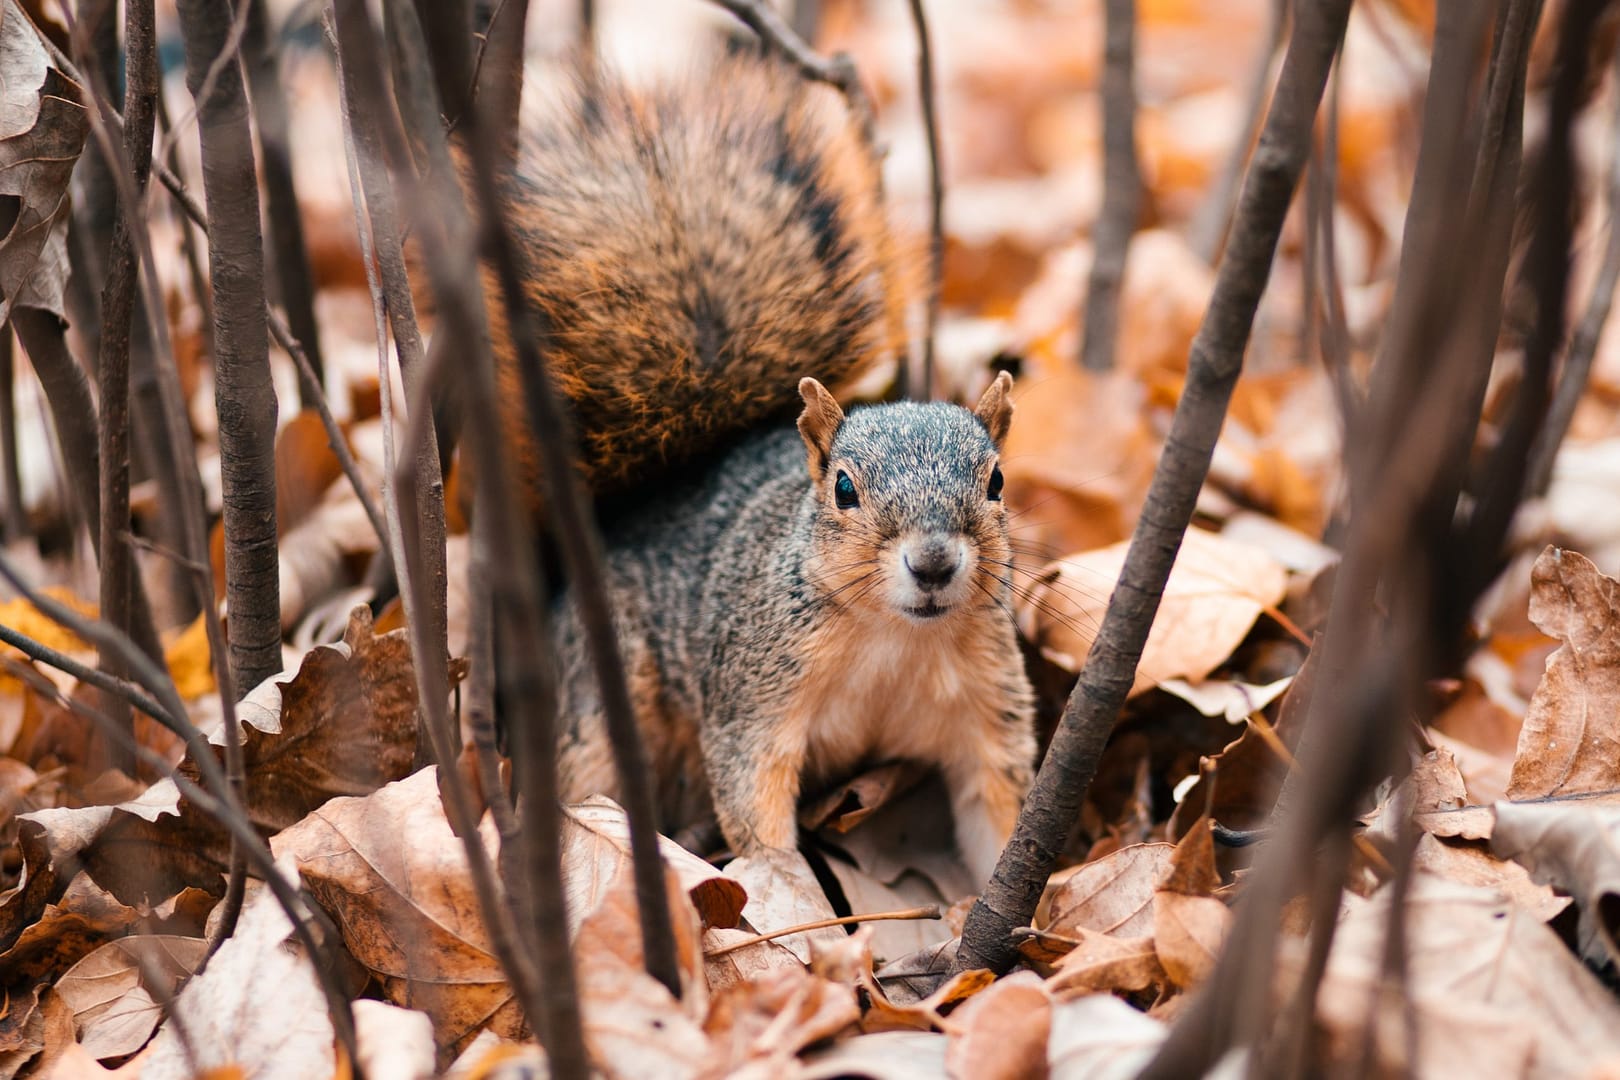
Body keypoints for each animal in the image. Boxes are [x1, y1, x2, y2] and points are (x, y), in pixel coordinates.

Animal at [492, 56, 1036, 885]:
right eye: (843, 488)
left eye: (997, 481)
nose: (935, 564)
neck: (894, 642)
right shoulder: (753, 696)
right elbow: (755, 799)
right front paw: (792, 898)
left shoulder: (985, 703)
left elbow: (995, 811)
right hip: (598, 698)